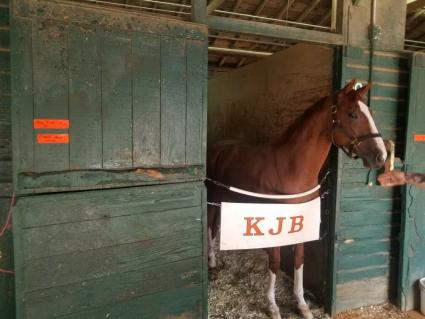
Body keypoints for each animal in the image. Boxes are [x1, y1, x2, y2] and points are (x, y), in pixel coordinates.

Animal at [207, 78, 386, 319]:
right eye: (353, 114)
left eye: (371, 112)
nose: (381, 157)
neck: (291, 168)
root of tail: (218, 147)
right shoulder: (276, 225)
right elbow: (275, 262)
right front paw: (272, 306)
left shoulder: (299, 224)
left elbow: (299, 261)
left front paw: (302, 305)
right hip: (213, 197)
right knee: (210, 225)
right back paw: (211, 261)